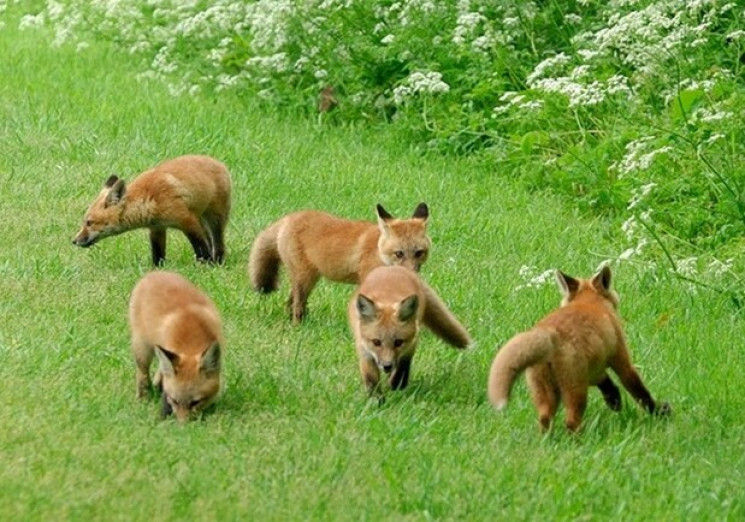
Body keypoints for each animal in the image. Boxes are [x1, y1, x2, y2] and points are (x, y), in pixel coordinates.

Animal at [73, 152, 231, 262]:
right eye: (85, 222)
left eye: (89, 223)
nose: (73, 241)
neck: (149, 199)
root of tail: (220, 163)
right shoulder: (157, 228)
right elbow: (158, 254)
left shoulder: (187, 221)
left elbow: (200, 247)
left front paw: (206, 265)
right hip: (201, 218)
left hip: (215, 219)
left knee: (218, 243)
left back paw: (217, 261)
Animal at [129, 270, 222, 420]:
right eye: (175, 401)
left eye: (195, 402)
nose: (183, 424)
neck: (191, 337)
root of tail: (155, 272)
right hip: (142, 348)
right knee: (142, 373)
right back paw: (143, 397)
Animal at [248, 202, 430, 320]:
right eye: (399, 254)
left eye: (419, 253)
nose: (412, 273)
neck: (379, 251)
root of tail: (288, 218)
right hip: (304, 278)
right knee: (296, 304)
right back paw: (297, 324)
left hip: (309, 279)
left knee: (290, 303)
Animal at [346, 266, 468, 400]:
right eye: (376, 342)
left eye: (398, 342)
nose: (387, 366)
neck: (387, 299)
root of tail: (393, 267)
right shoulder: (364, 351)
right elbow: (371, 380)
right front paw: (377, 400)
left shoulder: (410, 345)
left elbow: (402, 368)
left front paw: (396, 387)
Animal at [488, 264, 668, 430]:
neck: (588, 301)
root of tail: (548, 334)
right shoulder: (620, 358)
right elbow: (638, 390)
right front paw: (658, 412)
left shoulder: (594, 367)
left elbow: (605, 382)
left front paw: (614, 400)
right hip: (576, 389)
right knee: (571, 421)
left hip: (546, 391)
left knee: (544, 418)